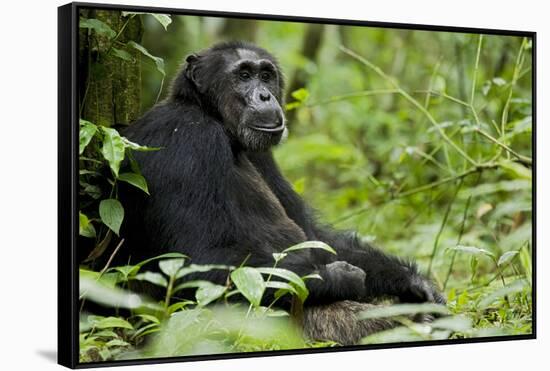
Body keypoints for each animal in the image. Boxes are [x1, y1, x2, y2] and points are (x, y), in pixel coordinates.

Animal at [119, 41, 444, 346]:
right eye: (244, 75)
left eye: (266, 75)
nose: (265, 96)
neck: (216, 120)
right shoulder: (187, 141)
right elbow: (198, 260)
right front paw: (337, 276)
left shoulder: (262, 155)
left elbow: (314, 234)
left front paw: (414, 282)